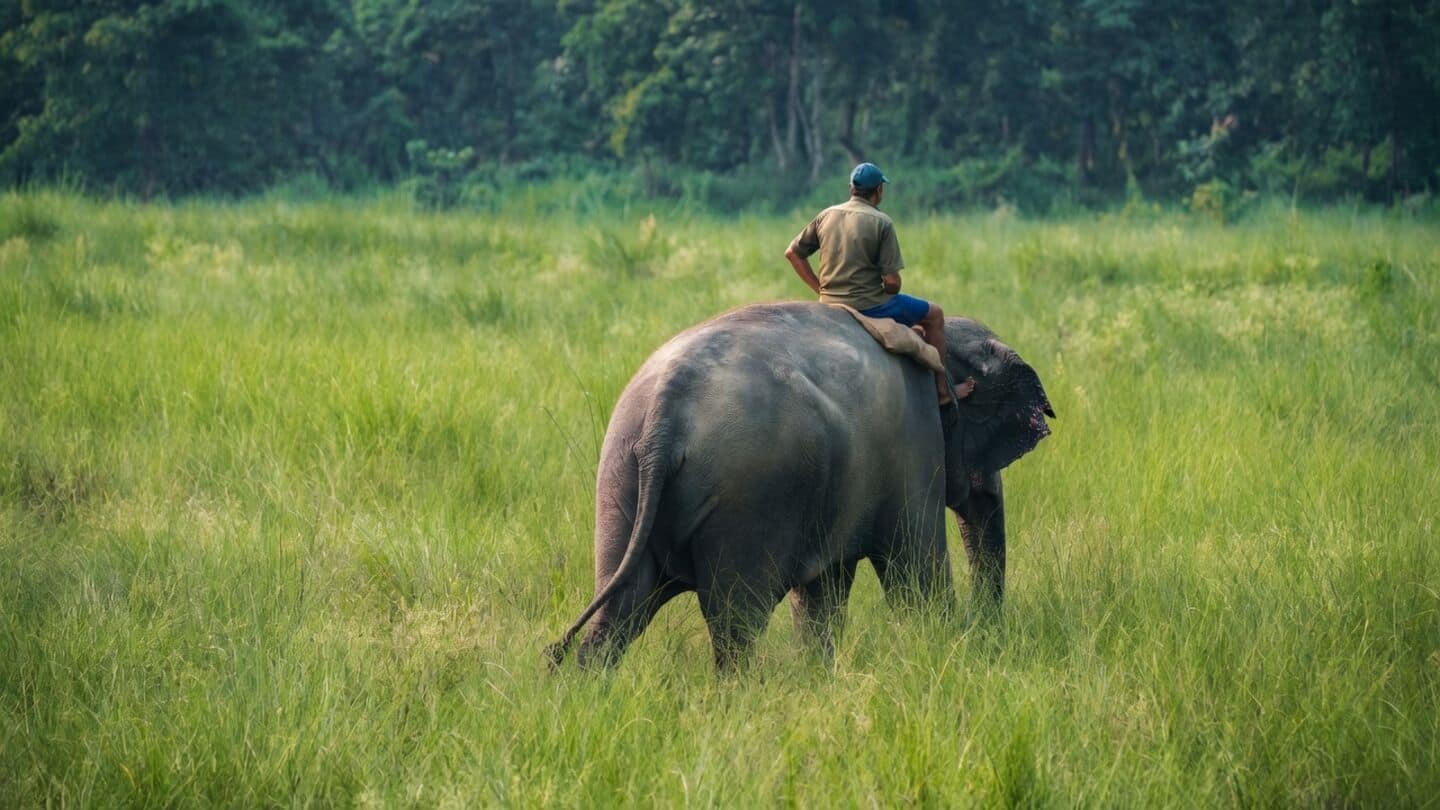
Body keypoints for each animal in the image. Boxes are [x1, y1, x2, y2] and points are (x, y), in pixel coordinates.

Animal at [546, 301, 1053, 671]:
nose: (987, 632)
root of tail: (664, 414)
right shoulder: (915, 443)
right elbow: (915, 571)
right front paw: (938, 641)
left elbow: (823, 592)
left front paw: (818, 674)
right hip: (748, 495)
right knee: (735, 624)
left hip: (621, 476)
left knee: (620, 609)